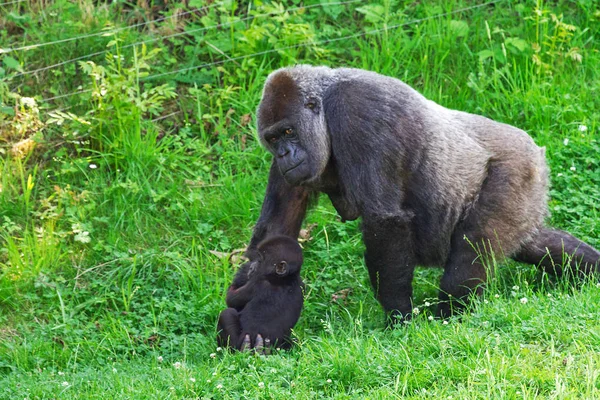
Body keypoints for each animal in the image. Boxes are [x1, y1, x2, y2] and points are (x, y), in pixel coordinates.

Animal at [231, 65, 600, 346]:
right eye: (273, 138)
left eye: (289, 131)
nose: (284, 154)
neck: (325, 104)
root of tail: (536, 151)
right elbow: (276, 233)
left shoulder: (359, 112)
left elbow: (384, 221)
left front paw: (398, 319)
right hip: (528, 192)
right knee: (533, 241)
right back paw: (589, 270)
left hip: (518, 169)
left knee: (471, 253)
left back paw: (451, 319)